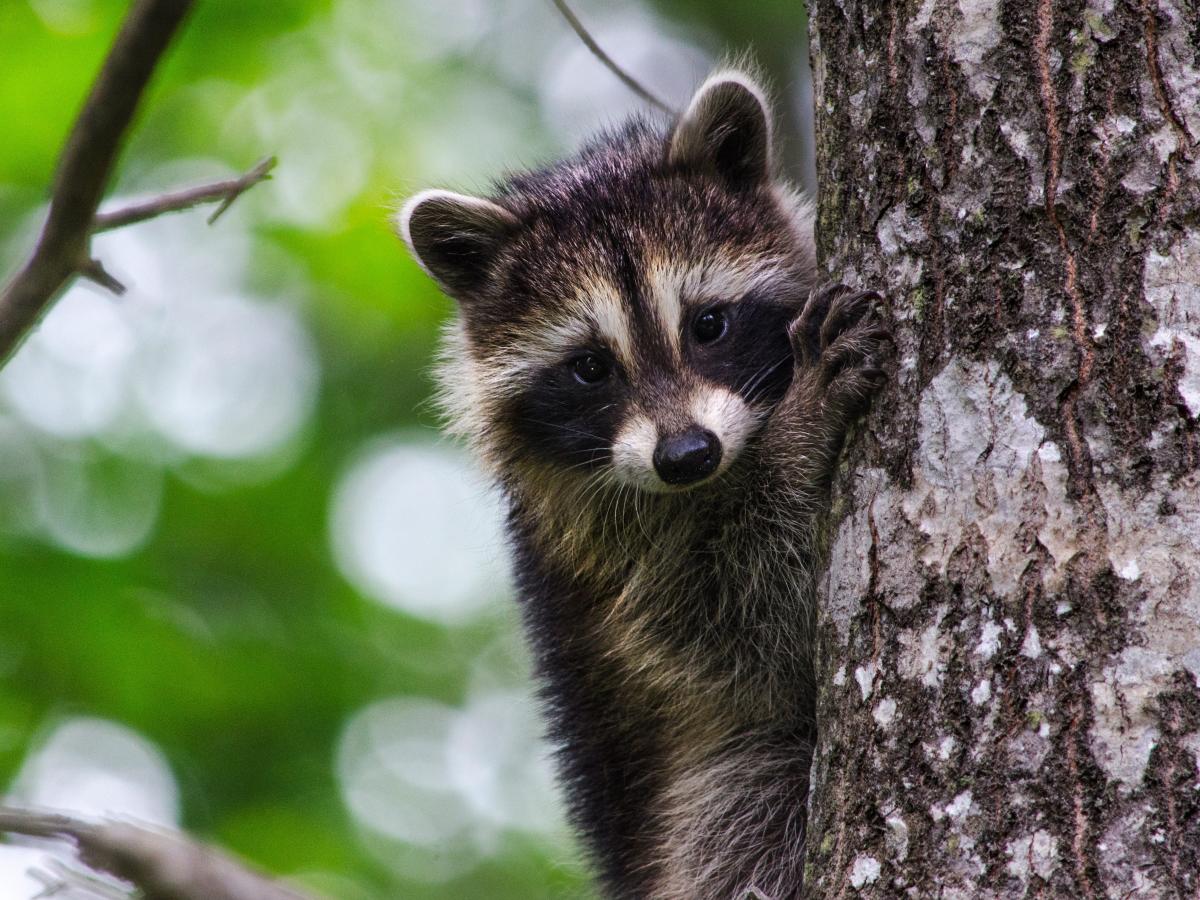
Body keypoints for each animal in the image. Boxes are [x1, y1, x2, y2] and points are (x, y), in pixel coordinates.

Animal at [398, 72, 888, 900]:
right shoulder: (615, 553)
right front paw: (798, 434)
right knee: (755, 800)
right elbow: (749, 625)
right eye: (590, 367)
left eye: (709, 324)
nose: (687, 455)